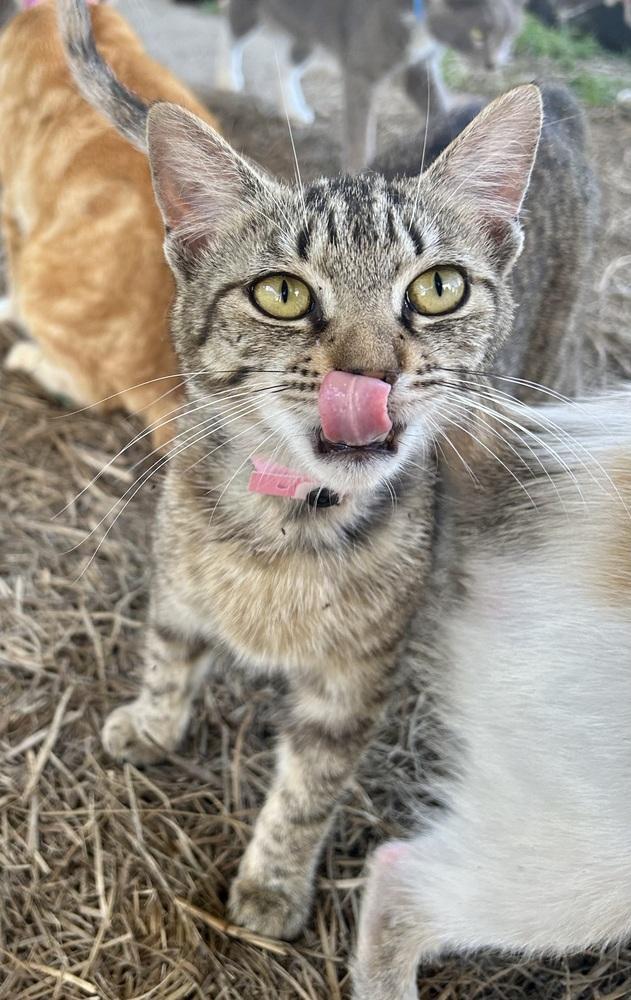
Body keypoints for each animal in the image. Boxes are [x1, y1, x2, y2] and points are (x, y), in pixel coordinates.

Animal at [0, 2, 217, 450]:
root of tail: (161, 386)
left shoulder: (10, 201)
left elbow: (9, 270)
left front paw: (5, 308)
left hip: (40, 282)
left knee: (98, 393)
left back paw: (30, 358)